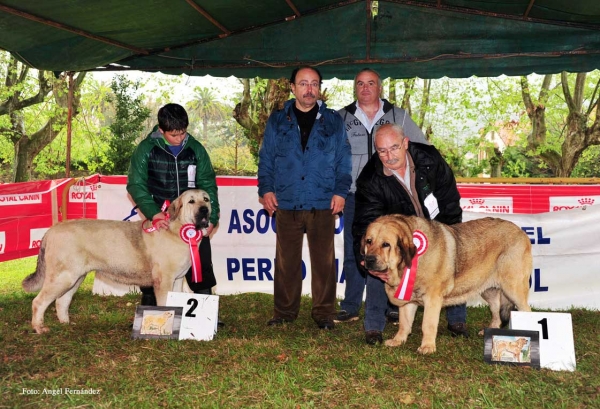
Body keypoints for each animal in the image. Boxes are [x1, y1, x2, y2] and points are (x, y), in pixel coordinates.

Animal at [22, 190, 212, 334]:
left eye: (206, 199)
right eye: (191, 201)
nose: (204, 210)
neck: (177, 229)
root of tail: (50, 231)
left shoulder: (177, 279)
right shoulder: (164, 281)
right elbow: (165, 305)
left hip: (75, 278)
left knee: (61, 301)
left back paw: (66, 324)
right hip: (62, 278)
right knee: (38, 302)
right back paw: (39, 328)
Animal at [360, 214, 528, 354]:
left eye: (386, 244)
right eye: (369, 241)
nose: (369, 259)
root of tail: (520, 230)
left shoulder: (432, 299)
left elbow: (428, 324)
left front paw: (427, 347)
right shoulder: (408, 300)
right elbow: (404, 323)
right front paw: (398, 340)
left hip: (513, 288)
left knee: (525, 310)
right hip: (488, 290)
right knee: (496, 311)